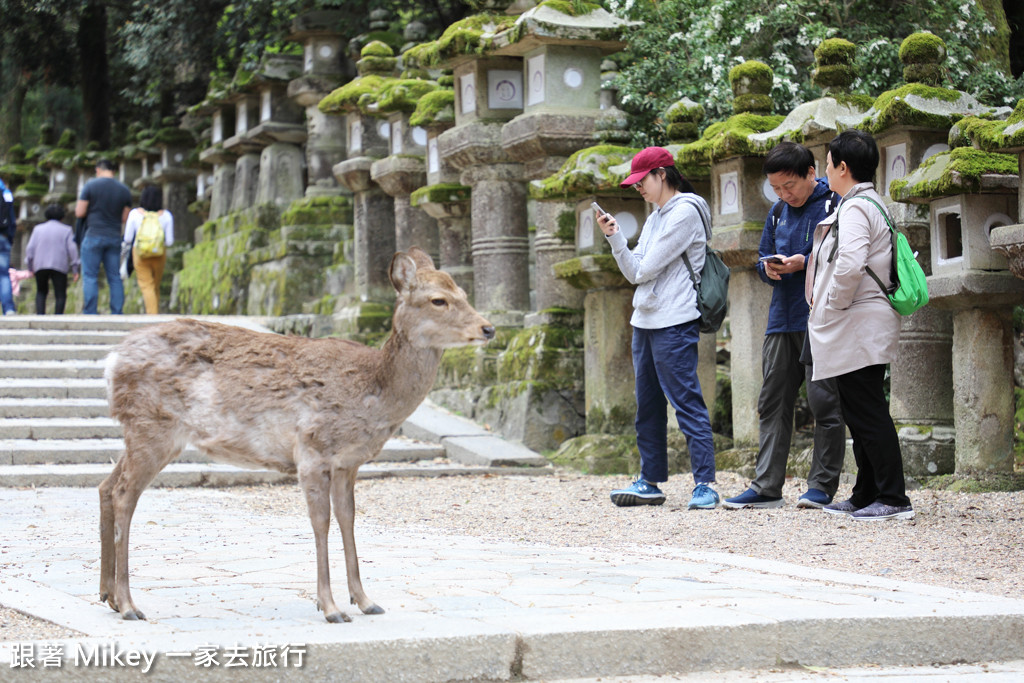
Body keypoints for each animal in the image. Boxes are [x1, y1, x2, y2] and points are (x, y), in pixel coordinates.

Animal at [98, 248, 495, 622]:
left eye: (463, 292)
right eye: (438, 300)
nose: (489, 328)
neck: (373, 393)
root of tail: (112, 362)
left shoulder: (348, 462)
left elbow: (348, 518)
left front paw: (366, 601)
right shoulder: (312, 449)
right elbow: (321, 522)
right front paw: (331, 607)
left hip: (140, 432)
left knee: (105, 486)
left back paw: (109, 597)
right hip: (153, 427)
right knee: (123, 495)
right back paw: (130, 604)